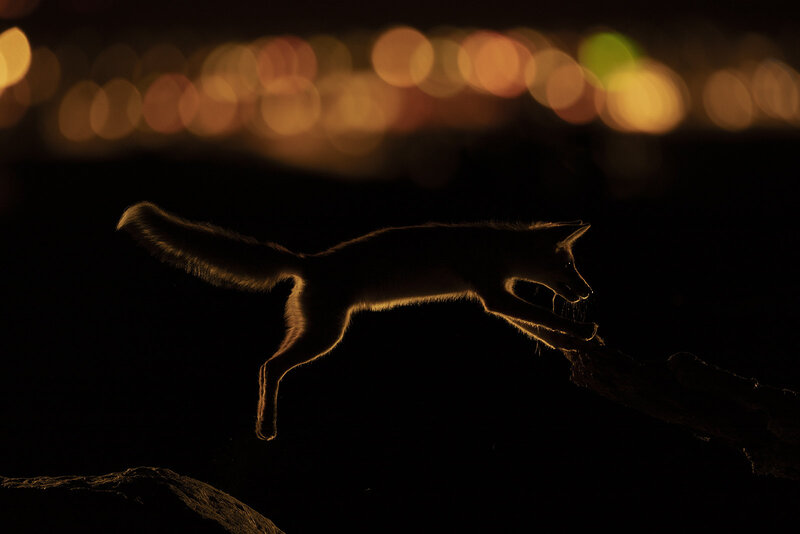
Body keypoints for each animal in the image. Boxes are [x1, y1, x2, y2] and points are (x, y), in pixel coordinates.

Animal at [117, 202, 598, 440]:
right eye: (570, 266)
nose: (588, 292)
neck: (497, 245)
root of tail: (308, 261)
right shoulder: (494, 294)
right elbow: (541, 317)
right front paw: (581, 331)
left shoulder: (494, 297)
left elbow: (541, 330)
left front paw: (573, 343)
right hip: (326, 336)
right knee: (269, 366)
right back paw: (266, 427)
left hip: (315, 331)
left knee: (268, 366)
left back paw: (263, 425)